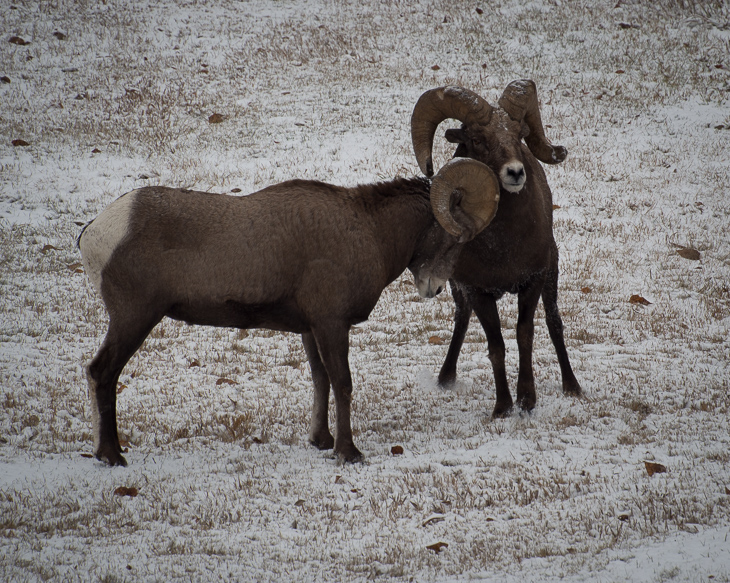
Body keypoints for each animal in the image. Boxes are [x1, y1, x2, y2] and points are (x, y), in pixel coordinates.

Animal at [81, 157, 500, 468]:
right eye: (457, 237)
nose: (435, 288)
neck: (370, 231)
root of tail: (95, 232)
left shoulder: (310, 328)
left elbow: (320, 380)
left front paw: (321, 440)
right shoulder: (332, 324)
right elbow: (343, 383)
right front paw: (348, 453)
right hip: (134, 318)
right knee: (102, 372)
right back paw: (112, 456)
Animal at [410, 80, 580, 418]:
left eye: (519, 134)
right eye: (477, 139)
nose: (515, 173)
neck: (503, 246)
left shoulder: (533, 281)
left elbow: (524, 335)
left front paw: (527, 400)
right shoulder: (477, 291)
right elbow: (496, 346)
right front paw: (502, 407)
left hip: (552, 275)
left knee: (554, 322)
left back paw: (572, 386)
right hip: (455, 287)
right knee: (461, 320)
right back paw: (445, 378)